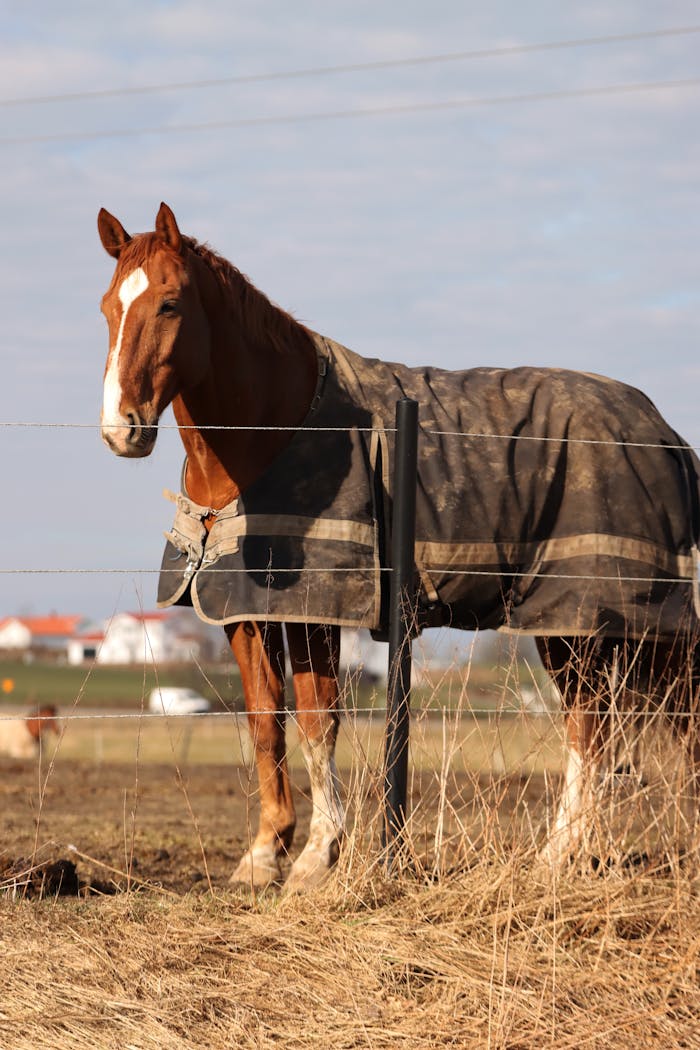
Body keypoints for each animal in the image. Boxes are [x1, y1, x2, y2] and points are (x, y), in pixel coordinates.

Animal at [98, 202, 700, 885]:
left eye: (170, 303)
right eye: (108, 307)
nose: (122, 429)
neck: (280, 428)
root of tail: (663, 432)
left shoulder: (315, 611)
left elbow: (317, 719)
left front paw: (317, 857)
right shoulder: (242, 611)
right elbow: (264, 722)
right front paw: (263, 854)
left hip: (595, 616)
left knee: (598, 729)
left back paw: (556, 855)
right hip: (575, 626)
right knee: (594, 724)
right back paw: (568, 856)